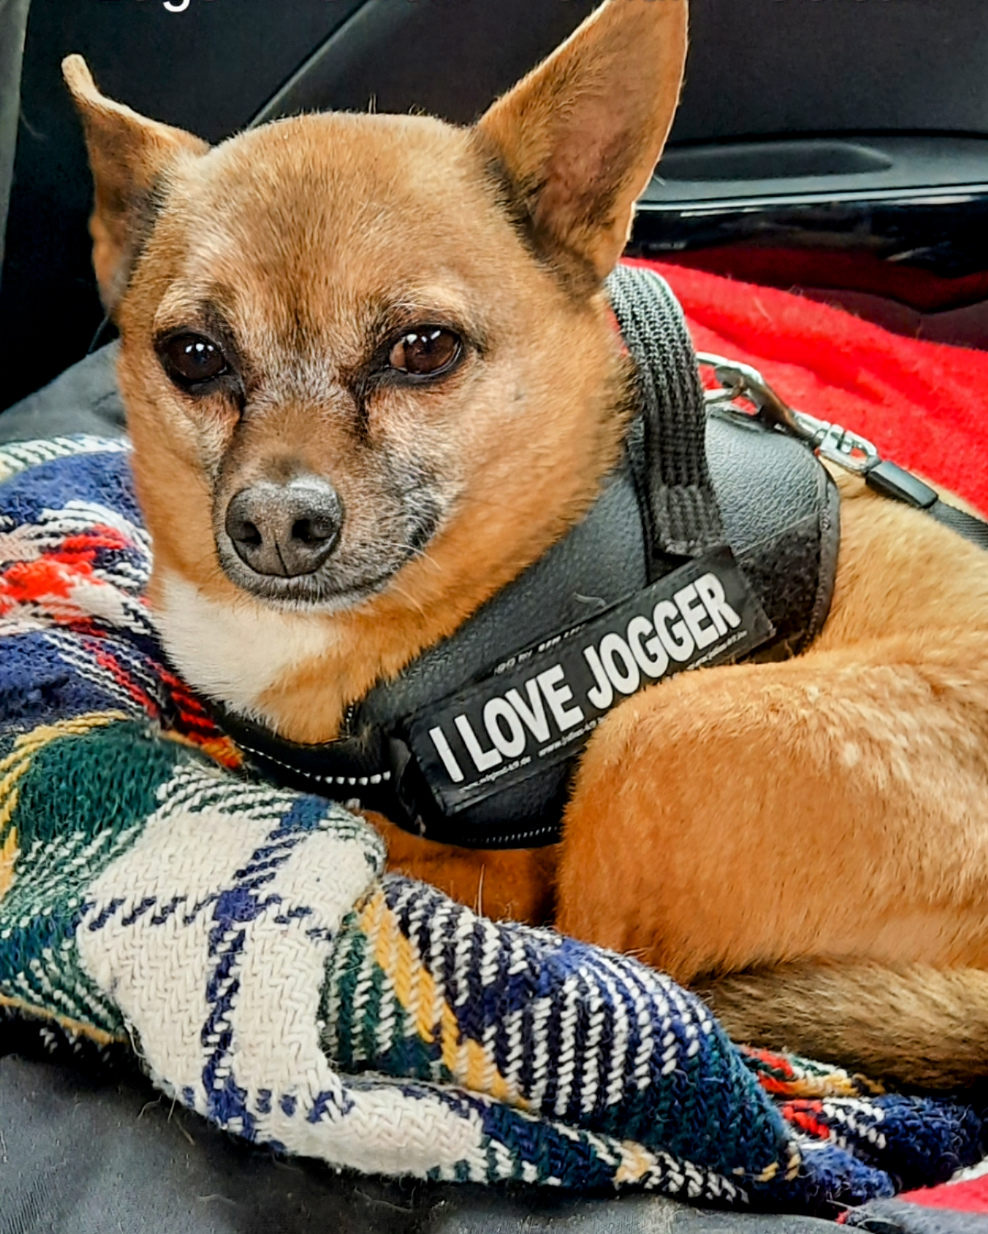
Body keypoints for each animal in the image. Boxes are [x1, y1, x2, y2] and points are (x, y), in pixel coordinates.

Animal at [62, 0, 988, 1089]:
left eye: (424, 348)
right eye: (192, 357)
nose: (277, 523)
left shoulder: (490, 864)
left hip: (655, 736)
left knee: (618, 966)